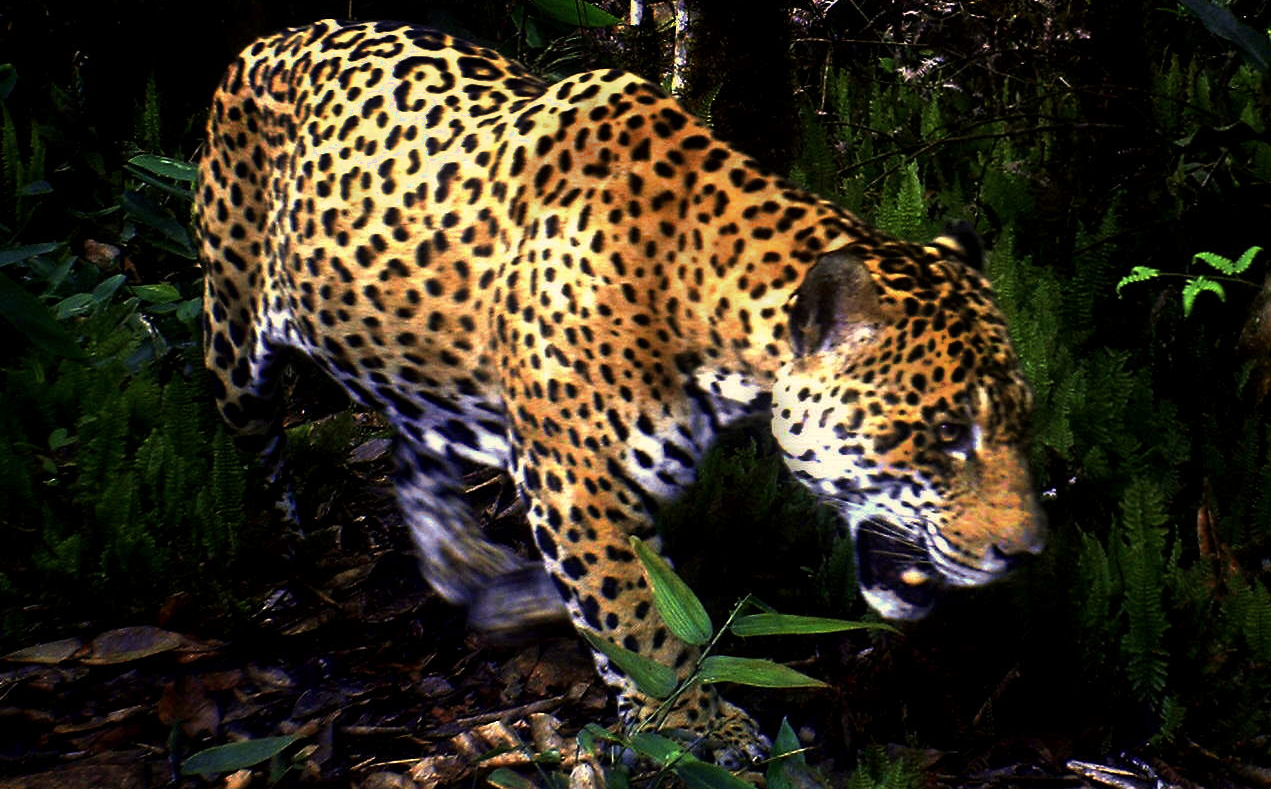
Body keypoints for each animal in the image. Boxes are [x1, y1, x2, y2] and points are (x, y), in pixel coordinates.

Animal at [196, 18, 1047, 764]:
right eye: (945, 435)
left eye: (1019, 426)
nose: (1026, 553)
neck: (707, 300)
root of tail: (272, 39)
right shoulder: (581, 487)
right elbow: (640, 618)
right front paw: (698, 725)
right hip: (233, 346)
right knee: (262, 453)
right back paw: (290, 567)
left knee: (417, 448)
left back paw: (481, 575)